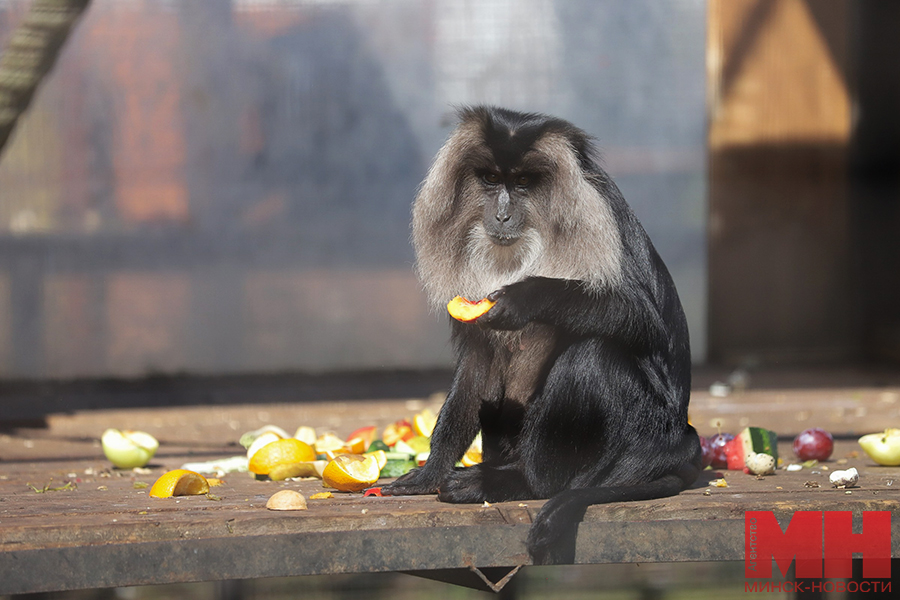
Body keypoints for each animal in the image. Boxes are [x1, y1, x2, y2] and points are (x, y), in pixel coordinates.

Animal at [376, 105, 700, 564]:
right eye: (491, 179)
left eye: (524, 183)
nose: (502, 214)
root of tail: (679, 439)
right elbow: (476, 363)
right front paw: (430, 471)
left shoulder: (601, 223)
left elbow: (641, 317)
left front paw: (525, 297)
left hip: (643, 430)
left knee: (591, 355)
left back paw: (515, 483)